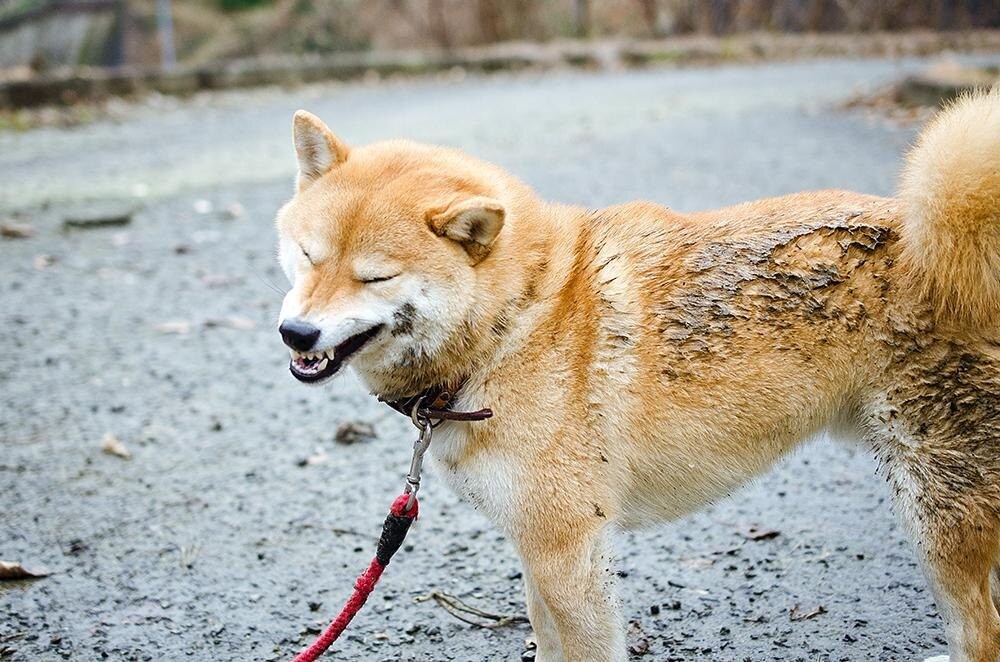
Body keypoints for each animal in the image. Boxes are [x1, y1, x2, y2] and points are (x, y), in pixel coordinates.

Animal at [274, 92, 1000, 662]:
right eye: (307, 256)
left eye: (375, 277)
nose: (296, 334)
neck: (516, 322)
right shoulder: (535, 546)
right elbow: (544, 638)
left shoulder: (567, 549)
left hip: (938, 516)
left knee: (981, 633)